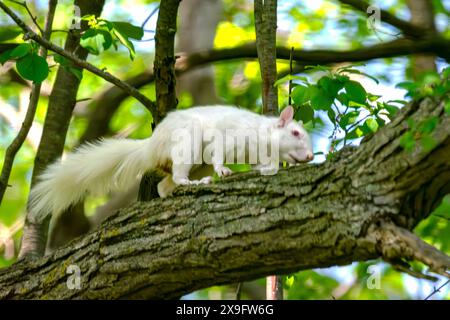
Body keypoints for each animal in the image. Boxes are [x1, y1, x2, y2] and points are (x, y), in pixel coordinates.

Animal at [28, 105, 312, 222]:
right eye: (295, 133)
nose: (310, 156)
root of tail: (151, 146)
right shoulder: (229, 136)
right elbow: (219, 153)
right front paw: (223, 170)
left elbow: (260, 165)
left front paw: (266, 169)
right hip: (189, 143)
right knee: (177, 176)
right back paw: (193, 182)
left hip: (196, 161)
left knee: (164, 186)